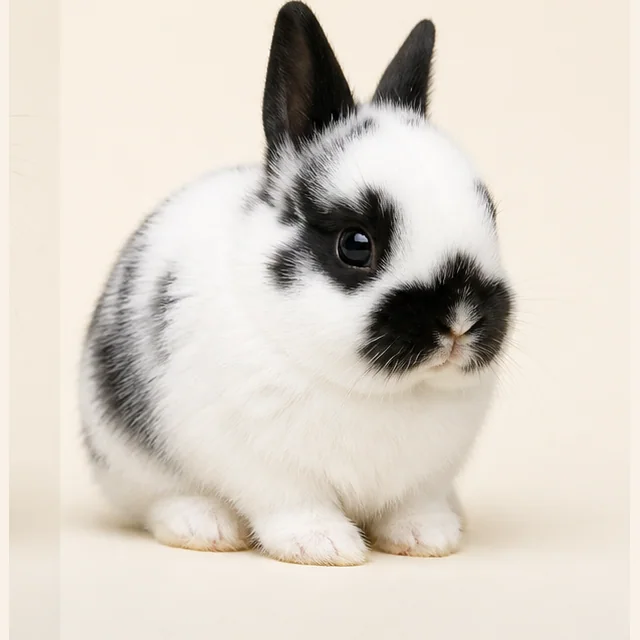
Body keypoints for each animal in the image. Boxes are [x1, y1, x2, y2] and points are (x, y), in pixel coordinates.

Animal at [79, 1, 515, 566]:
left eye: (491, 214)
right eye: (356, 244)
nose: (460, 320)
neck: (376, 391)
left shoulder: (428, 478)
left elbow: (415, 504)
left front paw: (426, 537)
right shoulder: (265, 468)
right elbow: (294, 503)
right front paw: (325, 545)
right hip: (128, 460)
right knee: (156, 501)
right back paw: (204, 526)